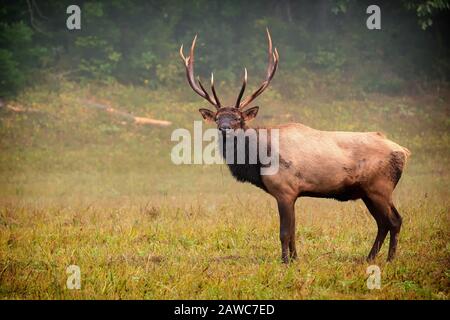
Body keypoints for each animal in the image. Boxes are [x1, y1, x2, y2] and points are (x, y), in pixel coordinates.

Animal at [179, 28, 412, 264]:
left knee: (394, 220)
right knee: (383, 222)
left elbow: (284, 232)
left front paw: (285, 261)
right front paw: (295, 258)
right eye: (218, 118)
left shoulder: (284, 189)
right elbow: (292, 230)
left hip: (380, 187)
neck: (259, 162)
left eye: (238, 119)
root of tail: (404, 151)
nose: (225, 128)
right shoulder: (293, 194)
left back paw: (390, 259)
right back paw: (370, 257)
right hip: (367, 191)